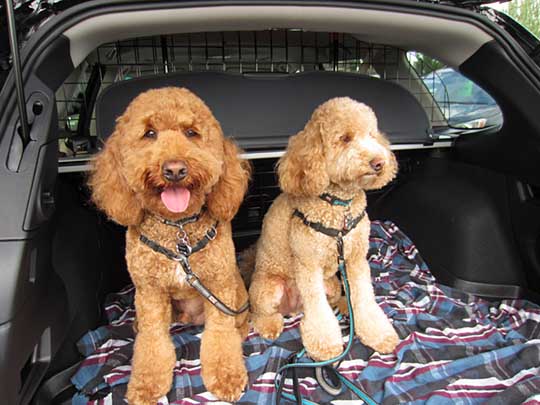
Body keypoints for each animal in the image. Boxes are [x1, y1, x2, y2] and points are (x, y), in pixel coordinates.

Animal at [89, 87, 250, 402]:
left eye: (191, 133)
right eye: (149, 133)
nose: (175, 170)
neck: (178, 230)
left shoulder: (219, 283)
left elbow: (221, 334)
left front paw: (227, 376)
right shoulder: (150, 293)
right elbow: (152, 341)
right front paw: (146, 385)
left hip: (235, 292)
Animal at [251, 96, 398, 358]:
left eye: (372, 135)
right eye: (345, 138)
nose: (379, 162)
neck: (339, 206)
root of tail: (293, 307)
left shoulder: (356, 259)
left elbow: (364, 297)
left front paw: (377, 333)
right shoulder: (308, 264)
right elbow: (318, 310)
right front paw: (325, 344)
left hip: (332, 284)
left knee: (335, 298)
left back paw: (344, 307)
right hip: (269, 289)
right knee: (260, 313)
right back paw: (270, 324)